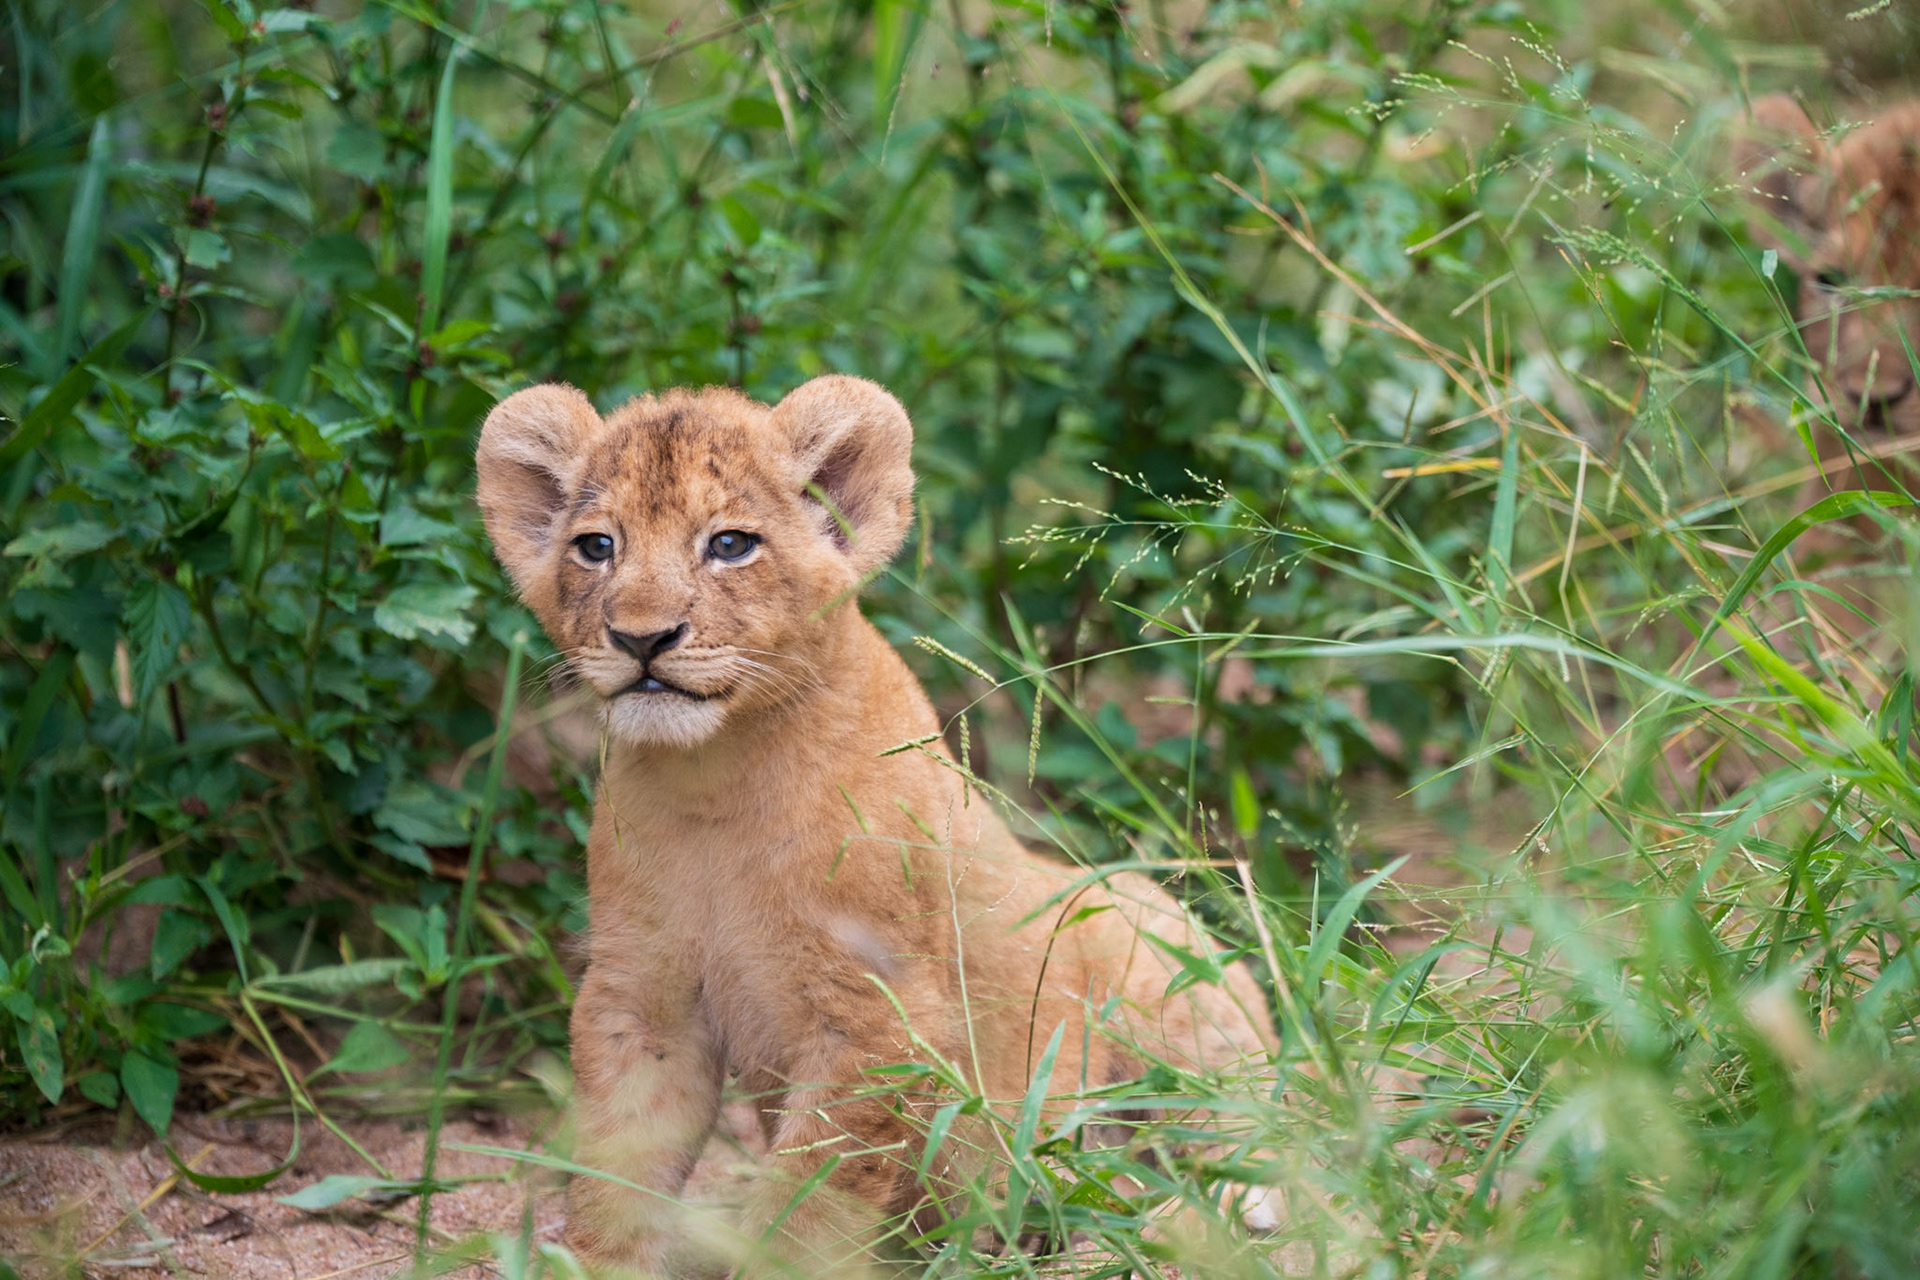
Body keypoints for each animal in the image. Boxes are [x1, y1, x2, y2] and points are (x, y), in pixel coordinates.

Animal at [475, 375, 1275, 1277]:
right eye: (596, 547)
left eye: (730, 545)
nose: (641, 637)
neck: (714, 783)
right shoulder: (641, 996)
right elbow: (618, 1166)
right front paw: (597, 1262)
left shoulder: (877, 1011)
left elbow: (810, 1196)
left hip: (1155, 950)